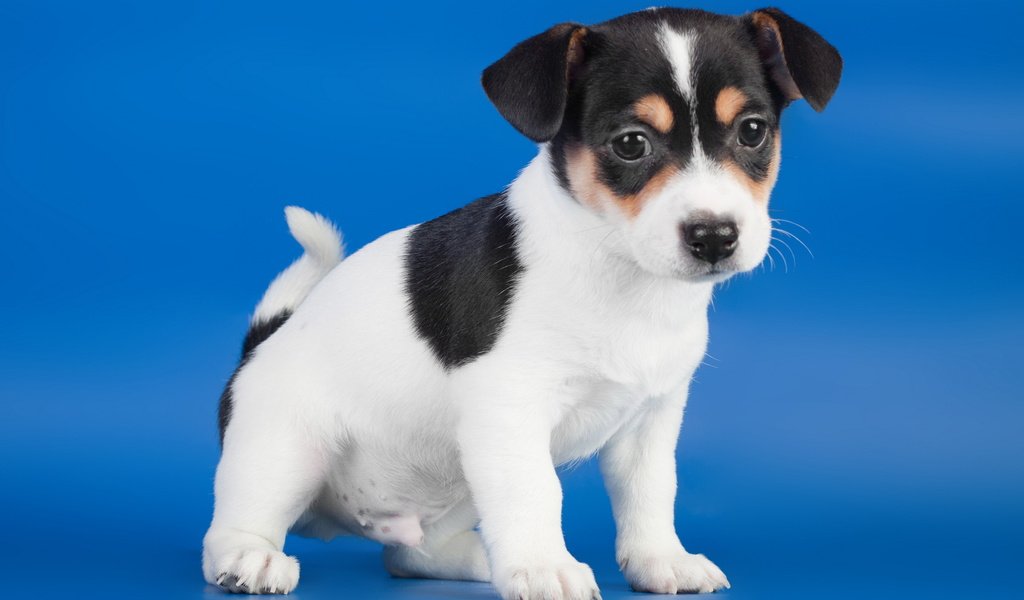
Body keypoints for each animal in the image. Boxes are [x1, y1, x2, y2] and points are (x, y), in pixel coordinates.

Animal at [201, 5, 839, 597]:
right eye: (631, 144)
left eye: (752, 131)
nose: (714, 236)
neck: (619, 270)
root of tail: (261, 345)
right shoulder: (510, 408)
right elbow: (536, 490)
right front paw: (542, 567)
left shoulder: (651, 420)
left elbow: (651, 492)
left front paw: (661, 560)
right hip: (285, 452)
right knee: (229, 534)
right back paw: (251, 559)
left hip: (452, 486)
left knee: (408, 555)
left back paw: (477, 558)